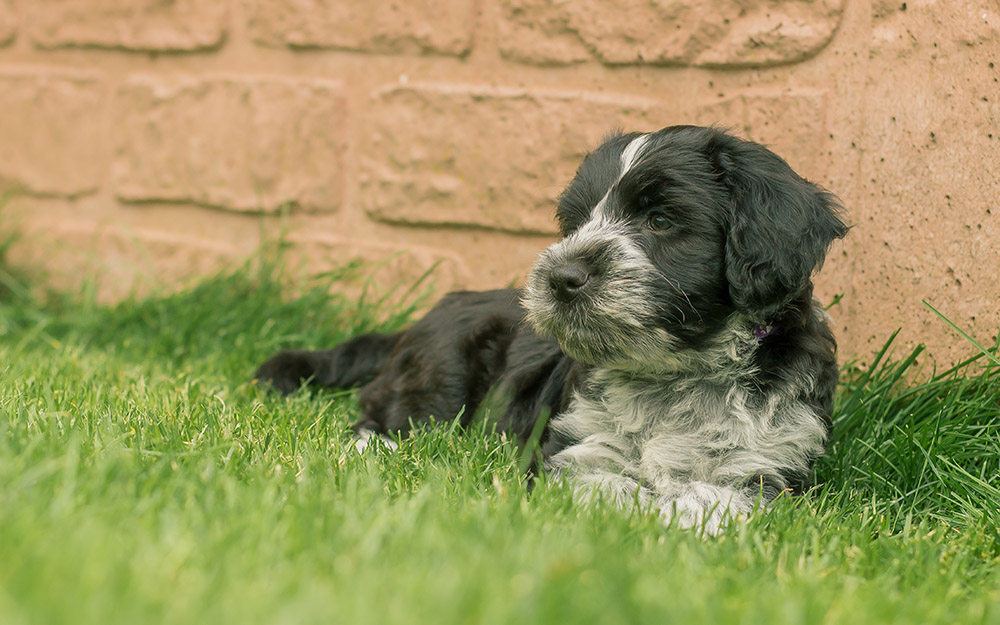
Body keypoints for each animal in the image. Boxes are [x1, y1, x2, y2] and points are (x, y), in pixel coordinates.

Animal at [254, 125, 848, 532]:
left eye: (660, 221)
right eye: (575, 222)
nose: (561, 277)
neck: (675, 374)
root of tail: (420, 321)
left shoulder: (770, 462)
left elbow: (715, 500)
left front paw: (673, 522)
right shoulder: (575, 444)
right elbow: (600, 487)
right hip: (441, 372)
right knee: (388, 415)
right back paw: (371, 455)